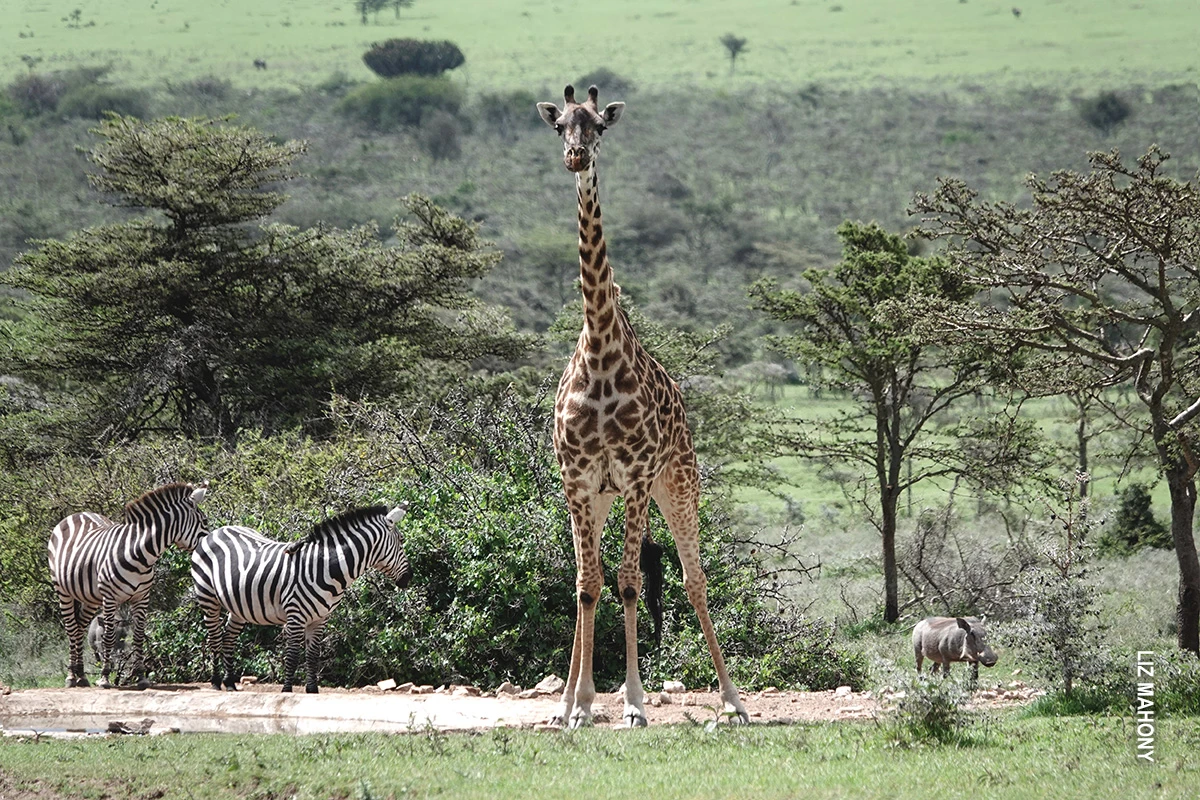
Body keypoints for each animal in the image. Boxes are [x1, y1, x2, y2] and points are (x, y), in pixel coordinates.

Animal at [48, 482, 210, 689]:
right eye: (204, 521)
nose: (208, 549)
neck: (141, 555)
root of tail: (77, 514)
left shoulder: (142, 597)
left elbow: (139, 636)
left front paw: (141, 676)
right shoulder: (110, 598)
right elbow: (109, 636)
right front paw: (105, 677)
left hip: (90, 597)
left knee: (79, 628)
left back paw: (81, 675)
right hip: (63, 591)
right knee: (70, 628)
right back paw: (70, 676)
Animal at [190, 504, 412, 694]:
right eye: (401, 541)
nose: (409, 578)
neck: (327, 567)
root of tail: (215, 532)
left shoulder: (320, 618)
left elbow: (312, 655)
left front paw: (312, 690)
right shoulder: (295, 615)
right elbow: (293, 655)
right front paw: (287, 690)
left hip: (238, 606)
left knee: (228, 638)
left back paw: (229, 683)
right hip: (208, 598)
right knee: (215, 638)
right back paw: (216, 681)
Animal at [536, 84, 749, 728]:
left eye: (599, 127)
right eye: (561, 126)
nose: (577, 157)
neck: (601, 352)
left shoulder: (633, 476)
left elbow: (630, 582)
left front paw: (631, 703)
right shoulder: (580, 480)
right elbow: (588, 583)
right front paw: (578, 706)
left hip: (677, 483)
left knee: (694, 578)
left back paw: (733, 702)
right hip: (603, 498)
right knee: (591, 578)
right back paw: (566, 701)